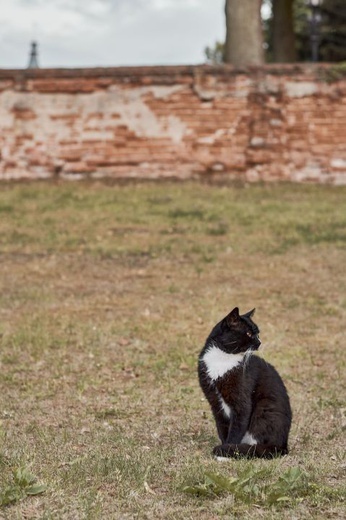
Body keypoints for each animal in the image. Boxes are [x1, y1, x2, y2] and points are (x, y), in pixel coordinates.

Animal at [197, 306, 292, 458]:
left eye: (258, 334)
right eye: (248, 333)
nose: (259, 342)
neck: (223, 358)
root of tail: (283, 446)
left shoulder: (241, 402)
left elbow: (236, 429)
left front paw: (225, 452)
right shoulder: (215, 403)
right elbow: (222, 428)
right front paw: (225, 448)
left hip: (264, 412)